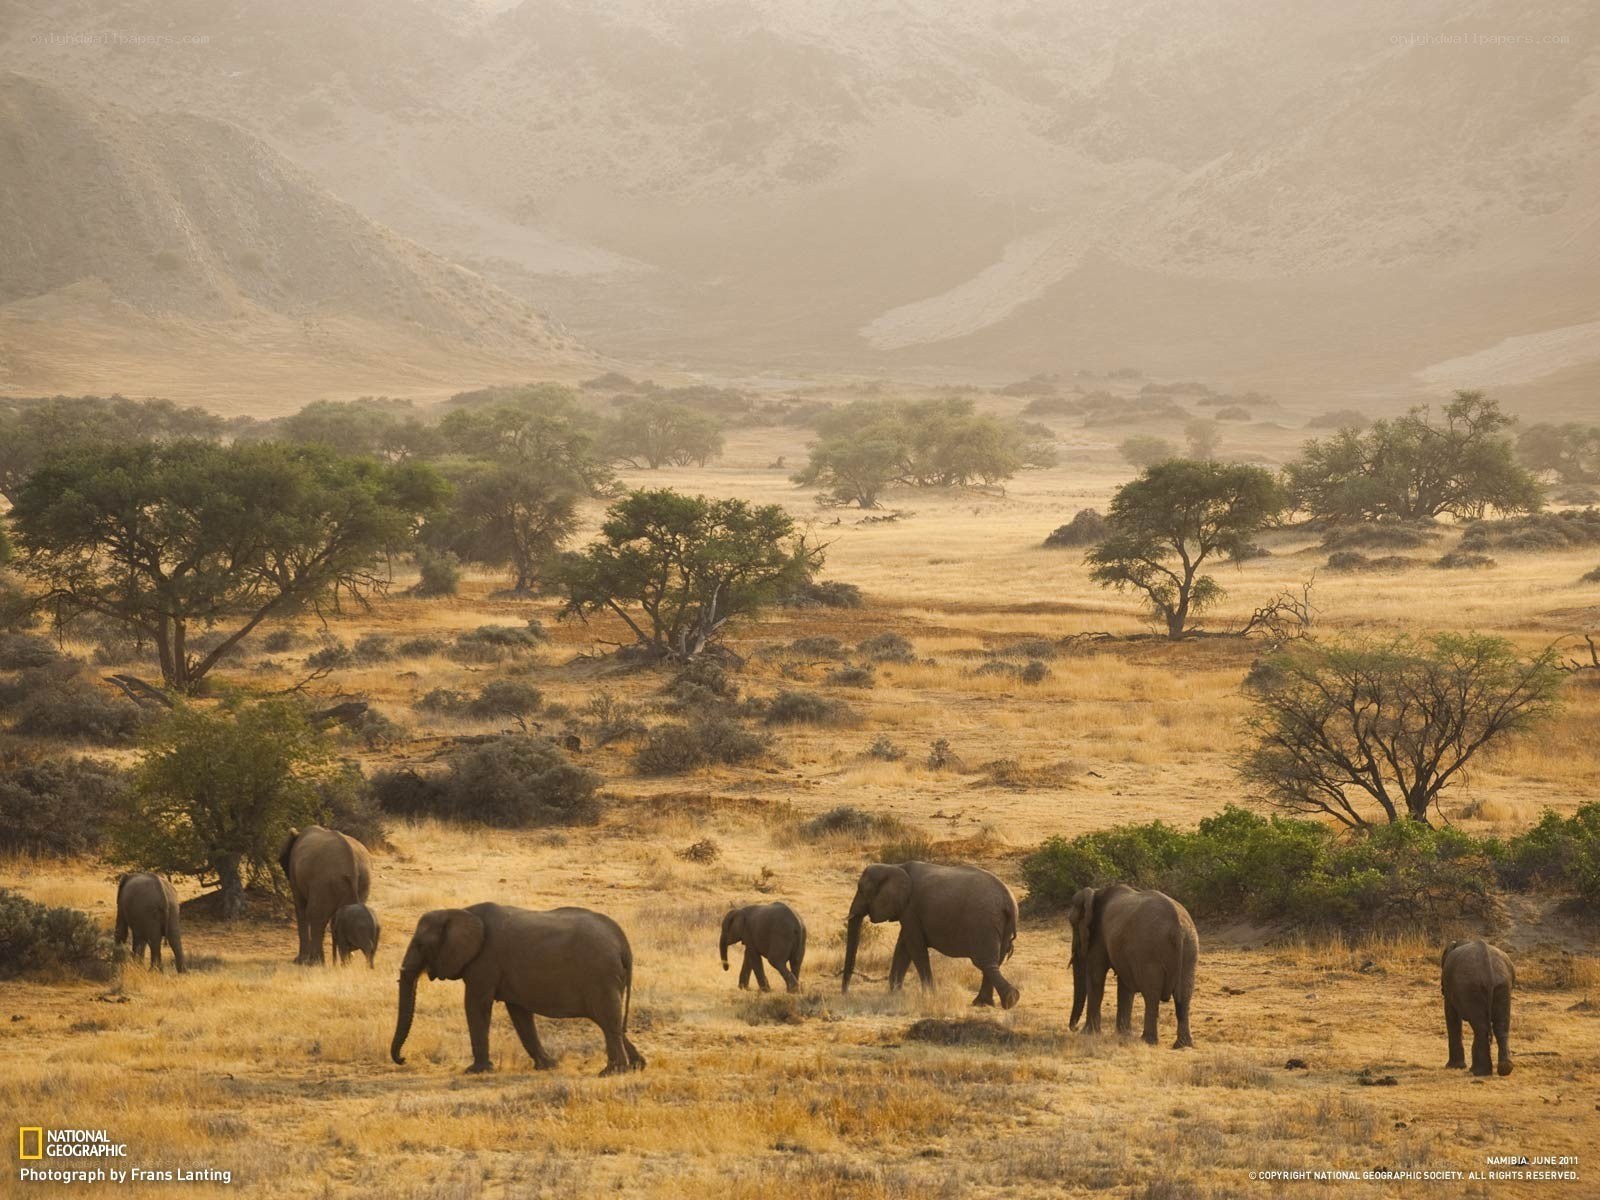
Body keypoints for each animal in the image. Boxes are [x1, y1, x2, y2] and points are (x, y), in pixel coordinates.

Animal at [278, 825, 371, 965]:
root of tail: (352, 868)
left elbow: (301, 909)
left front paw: (299, 961)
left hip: (324, 882)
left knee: (315, 915)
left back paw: (315, 962)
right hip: (362, 880)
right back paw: (345, 960)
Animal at [391, 903, 644, 1077]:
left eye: (420, 945)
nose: (403, 1059)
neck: (460, 911)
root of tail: (623, 944)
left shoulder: (485, 962)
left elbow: (476, 1005)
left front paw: (476, 1071)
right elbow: (519, 1013)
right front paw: (547, 1066)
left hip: (601, 974)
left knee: (608, 1020)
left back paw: (612, 1072)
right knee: (609, 1021)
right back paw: (637, 1066)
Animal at [841, 861, 1019, 1008]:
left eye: (861, 890)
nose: (845, 995)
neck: (895, 867)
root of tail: (1009, 902)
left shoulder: (910, 909)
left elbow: (915, 948)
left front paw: (929, 996)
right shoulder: (908, 911)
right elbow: (903, 947)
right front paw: (894, 995)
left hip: (983, 923)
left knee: (984, 962)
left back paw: (1009, 1000)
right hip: (1001, 925)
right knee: (994, 962)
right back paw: (986, 1003)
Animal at [1067, 884, 1197, 1048]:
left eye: (1072, 924)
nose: (1074, 1028)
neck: (1096, 892)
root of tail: (1178, 928)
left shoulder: (1099, 937)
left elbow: (1096, 975)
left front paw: (1088, 1034)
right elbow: (1125, 983)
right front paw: (1123, 1034)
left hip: (1150, 954)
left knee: (1151, 994)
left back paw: (1147, 1041)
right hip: (1190, 949)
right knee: (1184, 995)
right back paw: (1182, 1045)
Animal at [1441, 939, 1514, 1077]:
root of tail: (1488, 971)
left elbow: (1451, 1015)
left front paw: (1453, 1067)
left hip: (1471, 988)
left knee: (1480, 1027)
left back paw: (1478, 1071)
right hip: (1503, 985)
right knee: (1500, 1026)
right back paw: (1504, 1068)